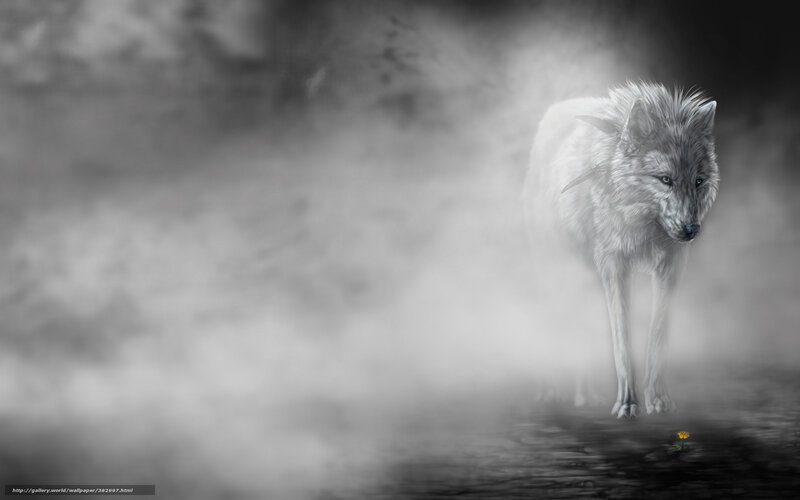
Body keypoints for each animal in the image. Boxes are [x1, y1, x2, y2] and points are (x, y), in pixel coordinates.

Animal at [522, 81, 719, 418]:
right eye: (665, 179)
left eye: (698, 181)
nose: (691, 230)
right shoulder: (614, 265)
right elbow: (622, 341)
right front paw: (627, 404)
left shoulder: (671, 266)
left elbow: (658, 337)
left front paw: (657, 400)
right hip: (561, 273)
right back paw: (552, 392)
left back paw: (585, 395)